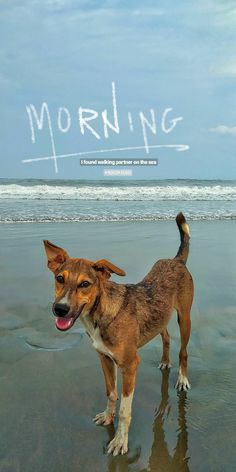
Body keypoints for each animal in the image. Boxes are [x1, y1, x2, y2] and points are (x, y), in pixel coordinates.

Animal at [43, 212, 193, 456]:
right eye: (59, 279)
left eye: (85, 284)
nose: (60, 309)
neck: (100, 313)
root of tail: (176, 261)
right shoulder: (104, 358)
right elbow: (111, 393)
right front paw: (107, 416)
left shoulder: (130, 366)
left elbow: (125, 409)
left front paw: (120, 441)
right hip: (161, 316)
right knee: (166, 337)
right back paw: (164, 361)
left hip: (185, 317)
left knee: (184, 352)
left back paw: (182, 379)